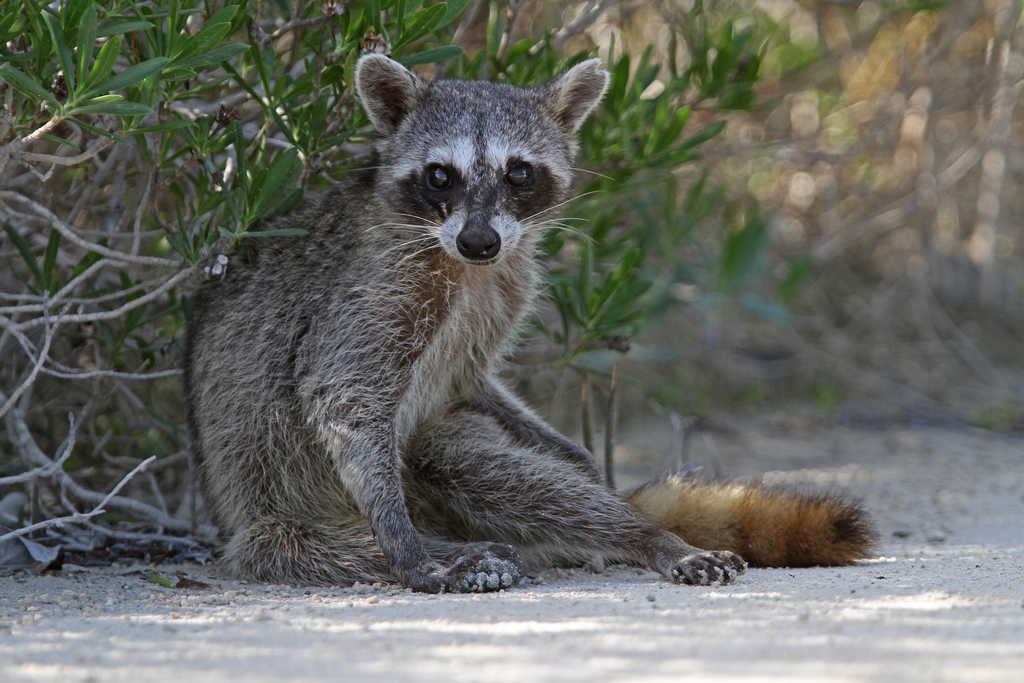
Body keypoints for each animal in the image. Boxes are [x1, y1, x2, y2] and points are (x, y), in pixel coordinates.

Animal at [184, 54, 872, 593]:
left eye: (518, 172)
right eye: (441, 175)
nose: (479, 240)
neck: (462, 263)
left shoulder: (506, 282)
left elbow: (473, 380)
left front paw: (579, 458)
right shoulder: (369, 290)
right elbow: (342, 393)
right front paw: (403, 543)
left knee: (504, 472)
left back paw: (642, 533)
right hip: (285, 520)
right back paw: (460, 549)